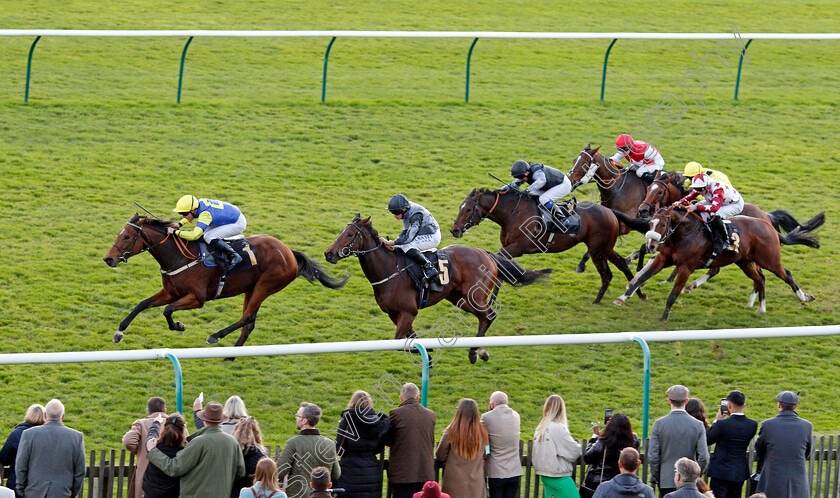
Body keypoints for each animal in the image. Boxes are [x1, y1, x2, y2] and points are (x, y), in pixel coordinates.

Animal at [102, 214, 348, 346]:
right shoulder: (171, 291)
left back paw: (215, 336)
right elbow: (142, 304)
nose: (108, 259)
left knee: (247, 317)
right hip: (251, 287)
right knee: (249, 321)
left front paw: (179, 326)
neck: (179, 256)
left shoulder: (197, 298)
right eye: (119, 234)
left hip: (265, 285)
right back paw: (229, 357)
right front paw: (119, 332)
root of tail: (288, 251)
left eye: (127, 236)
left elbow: (168, 310)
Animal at [322, 213, 552, 362]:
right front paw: (429, 351)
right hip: (461, 299)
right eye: (341, 231)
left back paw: (475, 352)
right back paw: (480, 350)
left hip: (475, 296)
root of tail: (486, 253)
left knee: (489, 315)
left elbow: (399, 341)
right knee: (484, 317)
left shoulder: (408, 311)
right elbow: (411, 338)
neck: (389, 269)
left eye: (350, 235)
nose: (329, 253)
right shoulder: (395, 314)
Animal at [450, 187, 648, 304]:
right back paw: (637, 293)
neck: (512, 213)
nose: (454, 230)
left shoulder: (516, 248)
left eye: (468, 209)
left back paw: (597, 300)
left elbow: (502, 269)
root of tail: (610, 211)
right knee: (622, 264)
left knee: (607, 274)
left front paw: (491, 300)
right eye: (460, 207)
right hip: (605, 248)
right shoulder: (508, 249)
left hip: (597, 250)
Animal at [612, 205, 816, 320]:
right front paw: (622, 297)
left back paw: (804, 297)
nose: (652, 245)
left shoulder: (685, 268)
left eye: (662, 224)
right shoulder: (663, 259)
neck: (684, 233)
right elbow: (641, 278)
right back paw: (760, 307)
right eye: (650, 223)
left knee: (786, 275)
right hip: (746, 262)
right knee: (760, 279)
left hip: (770, 260)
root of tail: (769, 225)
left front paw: (663, 317)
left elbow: (673, 293)